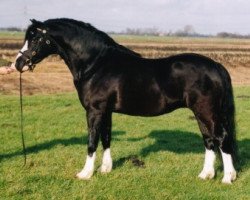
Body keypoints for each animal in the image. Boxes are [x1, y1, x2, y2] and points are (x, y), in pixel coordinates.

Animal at [14, 18, 237, 183]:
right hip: (201, 112)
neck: (96, 64)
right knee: (209, 139)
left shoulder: (94, 110)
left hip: (207, 112)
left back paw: (227, 178)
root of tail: (216, 66)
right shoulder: (106, 111)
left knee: (221, 138)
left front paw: (85, 174)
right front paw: (106, 169)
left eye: (35, 39)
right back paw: (206, 175)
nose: (18, 63)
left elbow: (92, 141)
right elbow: (106, 138)